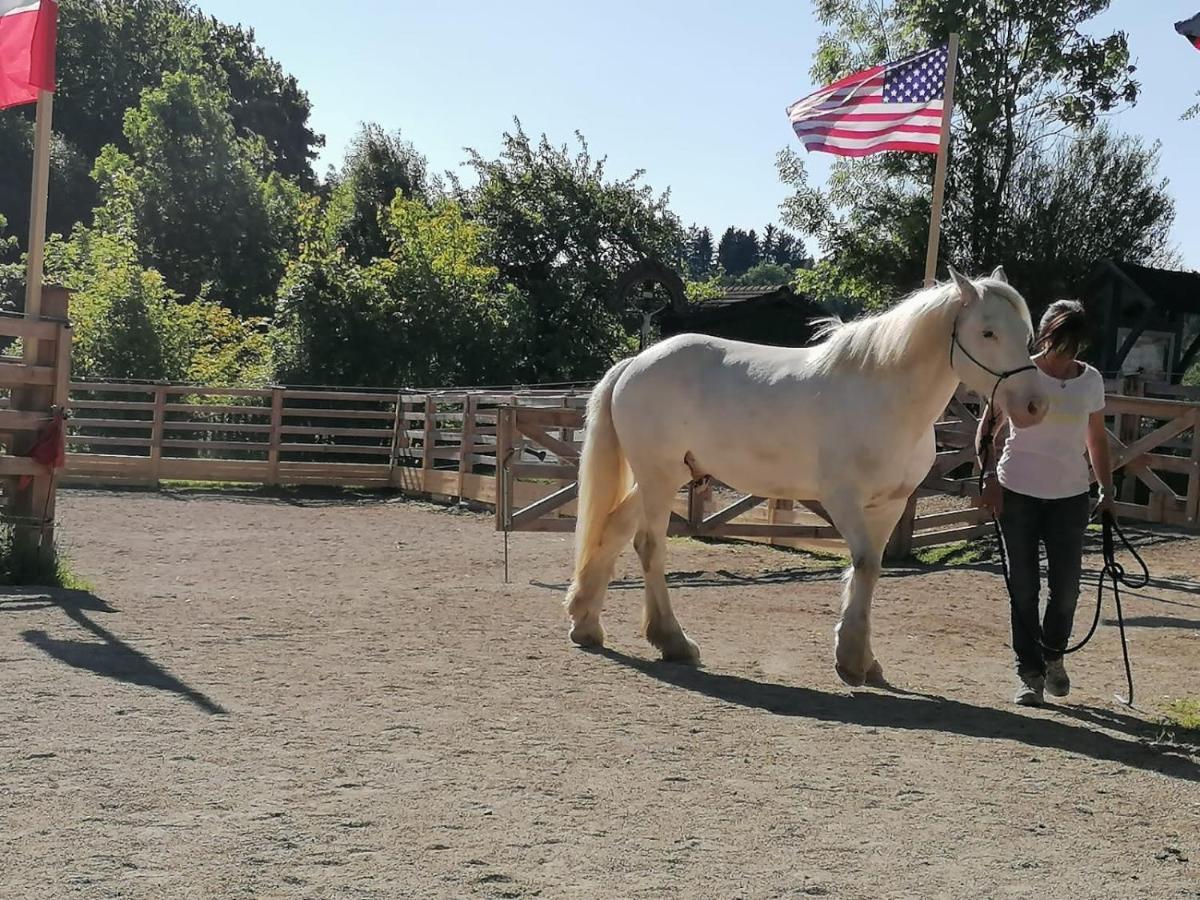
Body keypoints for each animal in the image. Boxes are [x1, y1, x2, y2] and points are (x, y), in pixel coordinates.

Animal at [566, 264, 1046, 686]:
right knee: (649, 546)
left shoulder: (889, 505)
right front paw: (851, 661)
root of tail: (635, 362)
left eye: (1028, 335)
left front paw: (864, 659)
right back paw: (673, 641)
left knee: (612, 528)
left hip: (666, 476)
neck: (884, 398)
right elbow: (865, 565)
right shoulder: (843, 500)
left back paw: (586, 623)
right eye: (987, 332)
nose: (1034, 405)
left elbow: (868, 572)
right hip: (659, 477)